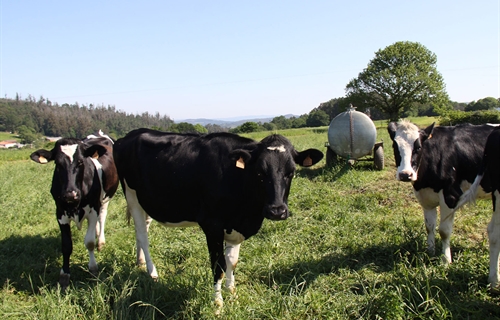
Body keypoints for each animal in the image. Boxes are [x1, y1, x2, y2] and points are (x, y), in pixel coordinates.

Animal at [30, 131, 118, 288]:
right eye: (57, 164)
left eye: (81, 162)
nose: (71, 194)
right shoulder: (60, 213)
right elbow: (66, 246)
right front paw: (64, 275)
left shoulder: (93, 210)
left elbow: (89, 242)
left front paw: (93, 268)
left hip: (105, 199)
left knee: (102, 217)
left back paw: (100, 242)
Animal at [112, 129, 324, 306]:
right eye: (259, 172)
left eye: (291, 172)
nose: (277, 211)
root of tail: (130, 135)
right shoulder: (212, 225)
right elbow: (219, 265)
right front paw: (218, 304)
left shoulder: (236, 225)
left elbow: (232, 261)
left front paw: (232, 292)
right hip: (131, 195)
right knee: (142, 235)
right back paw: (152, 272)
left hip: (146, 201)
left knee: (142, 230)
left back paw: (140, 263)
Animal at [388, 121, 494, 264]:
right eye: (395, 146)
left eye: (418, 147)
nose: (405, 174)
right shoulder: (426, 198)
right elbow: (429, 227)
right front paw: (429, 252)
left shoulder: (451, 195)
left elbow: (444, 231)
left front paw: (446, 260)